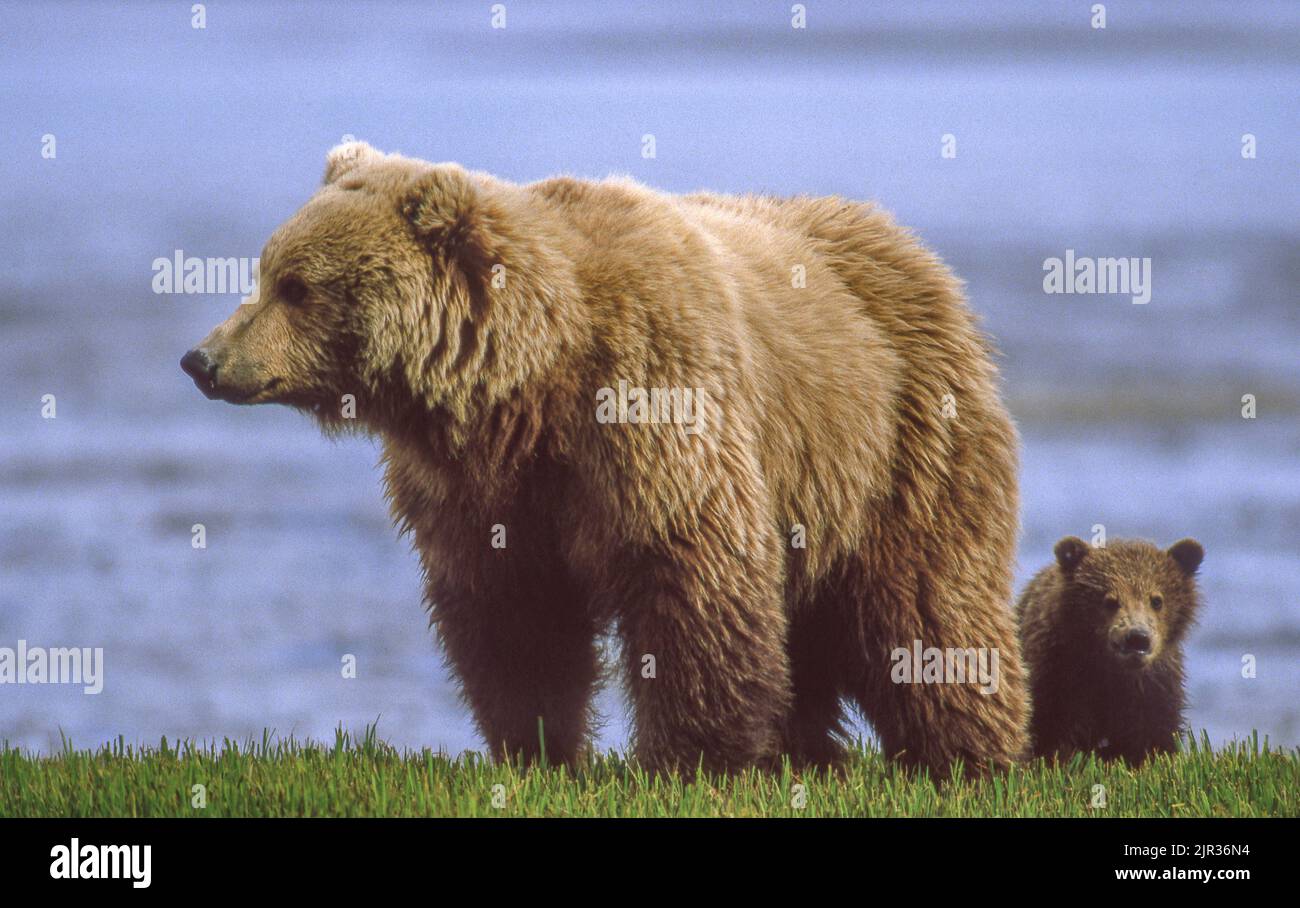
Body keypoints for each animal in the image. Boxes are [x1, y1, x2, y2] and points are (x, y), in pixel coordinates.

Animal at [183, 139, 1029, 770]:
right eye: (264, 271)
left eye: (297, 286)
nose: (202, 359)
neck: (527, 384)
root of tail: (912, 248)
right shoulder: (484, 488)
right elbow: (514, 614)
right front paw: (537, 748)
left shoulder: (651, 409)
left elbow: (689, 576)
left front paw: (697, 756)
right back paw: (811, 753)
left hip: (900, 441)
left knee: (926, 604)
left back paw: (967, 753)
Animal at [1013, 533, 1206, 759]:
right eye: (1110, 601)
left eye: (1157, 600)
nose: (1137, 637)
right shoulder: (1059, 671)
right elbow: (1054, 727)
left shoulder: (1154, 684)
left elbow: (1153, 735)